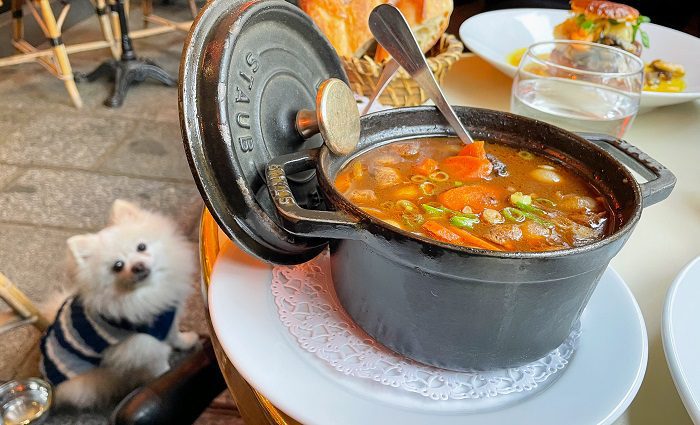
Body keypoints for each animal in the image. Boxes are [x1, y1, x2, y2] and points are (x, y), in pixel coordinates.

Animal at [39, 200, 198, 408]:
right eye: (118, 266)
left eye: (141, 246)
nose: (138, 266)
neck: (144, 293)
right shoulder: (146, 348)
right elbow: (160, 368)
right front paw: (167, 380)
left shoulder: (166, 324)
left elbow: (176, 336)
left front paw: (188, 341)